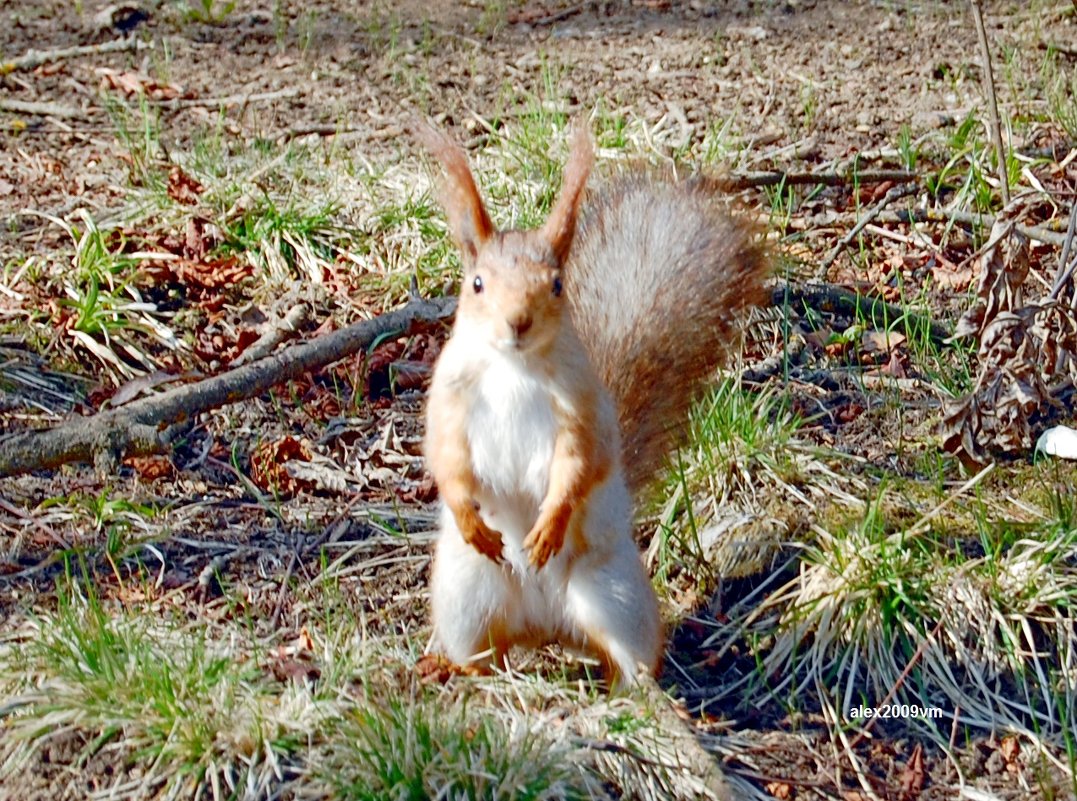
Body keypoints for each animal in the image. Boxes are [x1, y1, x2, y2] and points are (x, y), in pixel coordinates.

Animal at [415, 118, 771, 680]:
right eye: (476, 284)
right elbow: (445, 458)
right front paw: (470, 518)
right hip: (467, 597)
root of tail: (544, 627)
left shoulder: (579, 408)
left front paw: (549, 526)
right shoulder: (448, 399)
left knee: (627, 654)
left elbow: (577, 467)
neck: (514, 368)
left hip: (612, 595)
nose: (518, 322)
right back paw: (459, 671)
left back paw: (641, 691)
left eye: (557, 285)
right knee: (484, 652)